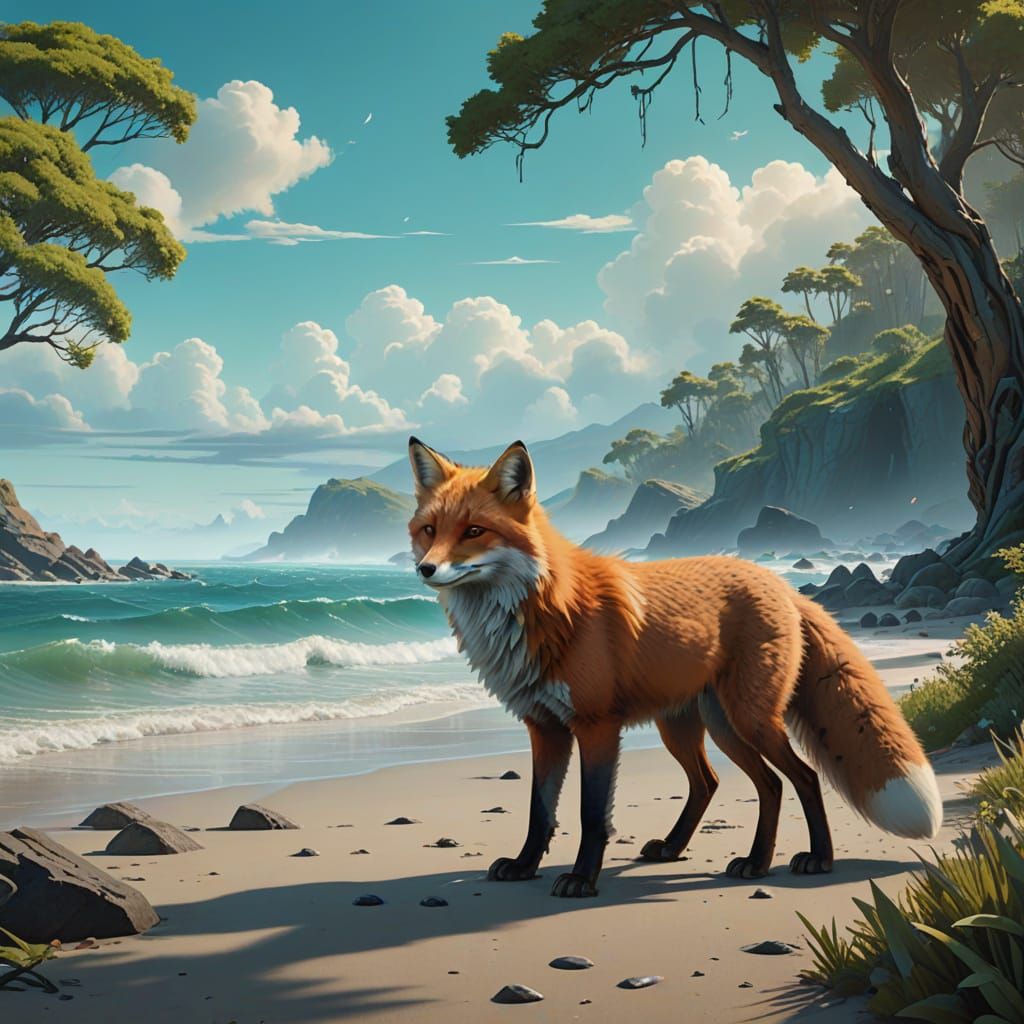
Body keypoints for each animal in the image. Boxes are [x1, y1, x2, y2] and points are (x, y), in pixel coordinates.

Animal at [407, 436, 944, 898]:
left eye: (474, 531)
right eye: (429, 530)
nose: (424, 569)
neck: (546, 609)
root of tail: (778, 583)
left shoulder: (596, 726)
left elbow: (590, 815)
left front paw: (582, 879)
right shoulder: (544, 726)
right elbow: (540, 812)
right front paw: (524, 866)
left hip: (750, 719)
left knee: (803, 777)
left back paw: (815, 858)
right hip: (703, 726)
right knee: (738, 783)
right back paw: (727, 856)